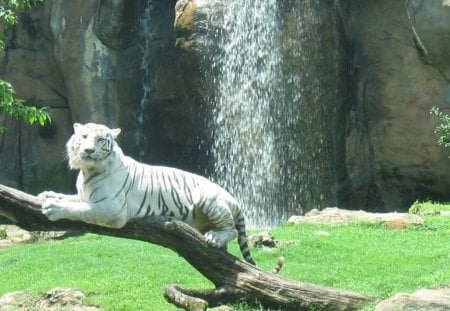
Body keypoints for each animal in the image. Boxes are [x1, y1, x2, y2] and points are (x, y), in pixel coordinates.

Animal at [38, 122, 255, 266]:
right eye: (84, 137)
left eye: (100, 140)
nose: (89, 150)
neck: (87, 171)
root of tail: (235, 200)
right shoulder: (85, 195)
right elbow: (71, 198)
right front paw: (47, 195)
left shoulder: (112, 209)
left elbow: (79, 208)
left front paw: (53, 207)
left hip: (209, 199)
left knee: (233, 231)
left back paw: (215, 238)